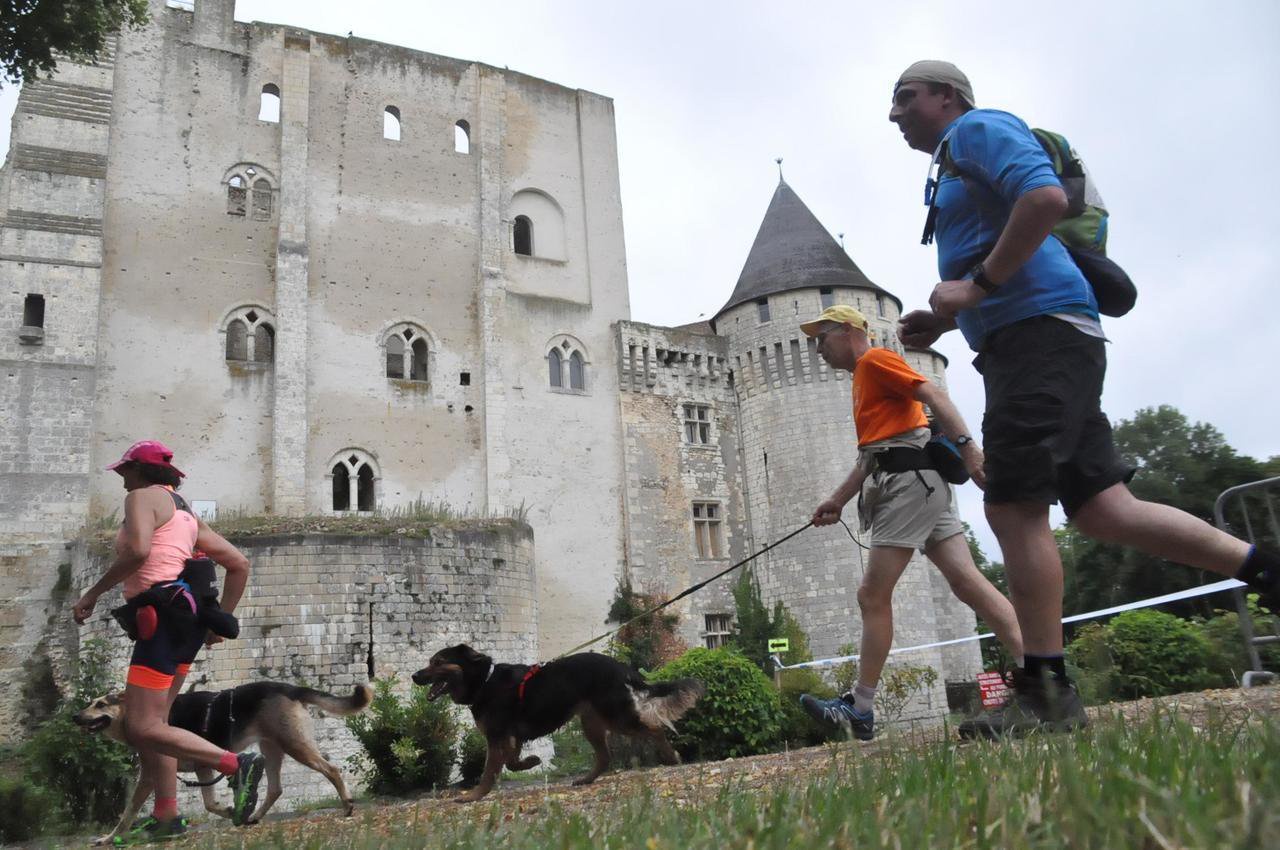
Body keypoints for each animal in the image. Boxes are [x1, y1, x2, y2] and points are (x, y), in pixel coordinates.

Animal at [73, 681, 372, 844]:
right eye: (91, 703)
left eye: (100, 704)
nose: (75, 717)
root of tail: (289, 687)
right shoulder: (200, 767)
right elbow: (207, 803)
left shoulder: (157, 773)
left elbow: (127, 813)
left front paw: (110, 838)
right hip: (272, 749)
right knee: (275, 788)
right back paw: (252, 816)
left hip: (294, 746)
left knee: (331, 769)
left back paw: (347, 805)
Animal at [412, 644, 704, 802]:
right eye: (430, 661)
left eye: (438, 662)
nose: (414, 676)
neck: (484, 681)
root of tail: (623, 667)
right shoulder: (511, 737)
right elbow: (512, 763)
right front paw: (532, 762)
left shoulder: (497, 737)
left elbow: (488, 772)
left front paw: (473, 796)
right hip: (591, 721)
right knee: (605, 756)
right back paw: (586, 779)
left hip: (616, 716)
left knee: (655, 728)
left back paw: (671, 756)